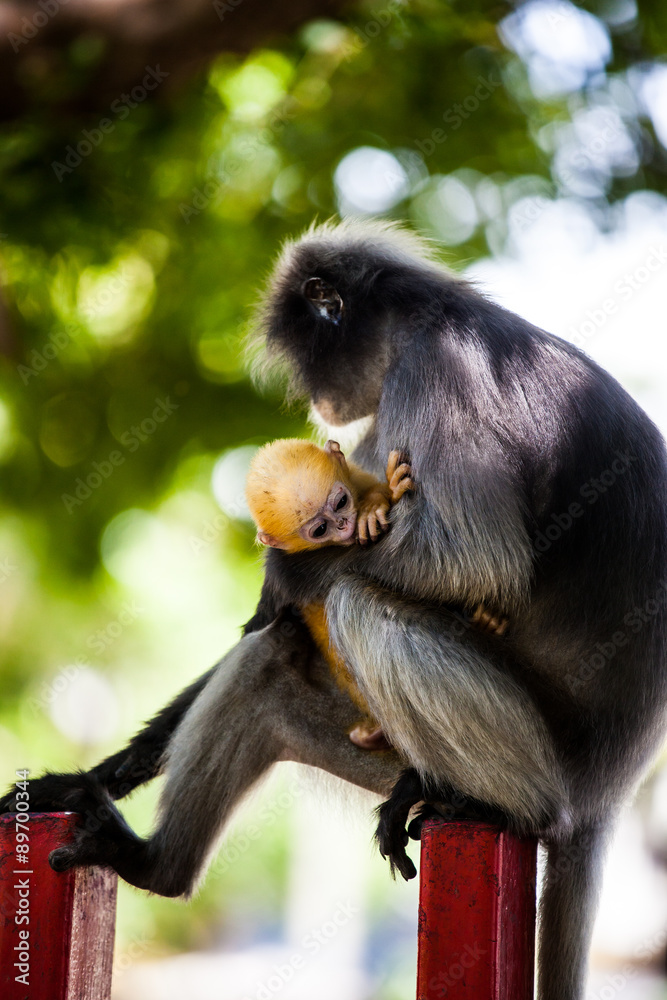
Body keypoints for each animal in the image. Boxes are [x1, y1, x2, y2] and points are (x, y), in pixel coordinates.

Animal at [4, 219, 666, 1000]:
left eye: (301, 357)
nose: (311, 393)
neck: (426, 317)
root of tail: (609, 789)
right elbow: (271, 625)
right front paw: (102, 774)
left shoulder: (440, 370)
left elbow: (478, 561)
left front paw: (284, 569)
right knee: (271, 657)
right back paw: (157, 865)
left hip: (544, 757)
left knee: (353, 601)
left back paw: (492, 803)